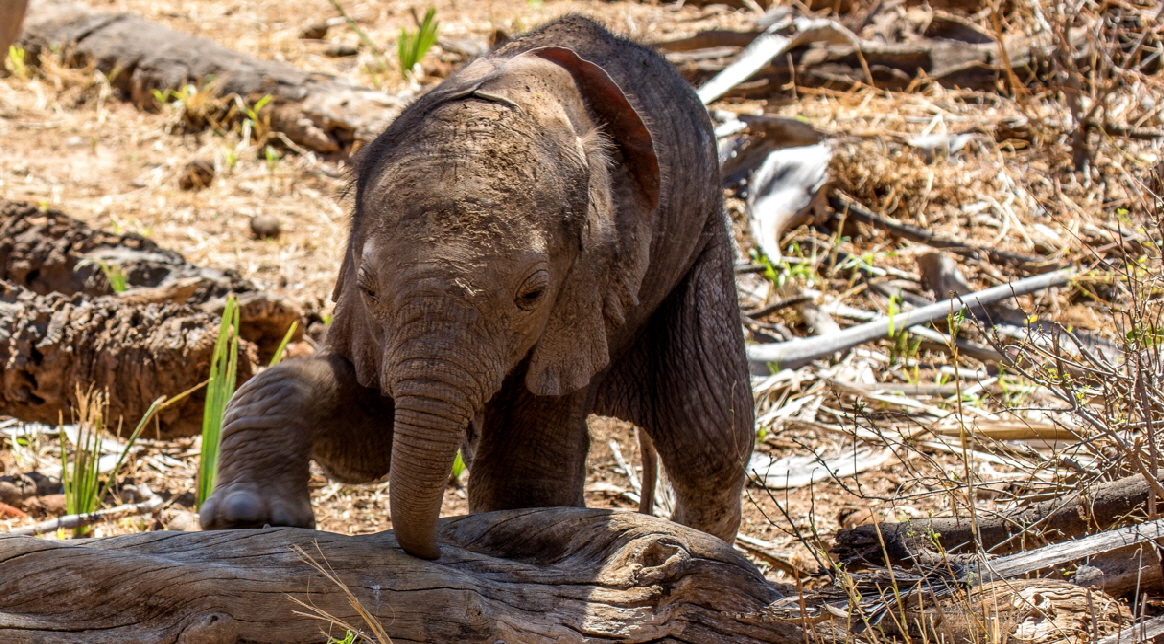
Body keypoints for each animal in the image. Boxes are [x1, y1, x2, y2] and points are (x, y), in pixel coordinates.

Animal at [202, 15, 754, 556]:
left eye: (532, 296)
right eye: (369, 288)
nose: (429, 551)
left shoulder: (586, 291)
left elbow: (519, 479)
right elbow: (365, 434)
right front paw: (247, 519)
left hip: (703, 239)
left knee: (708, 441)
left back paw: (705, 549)